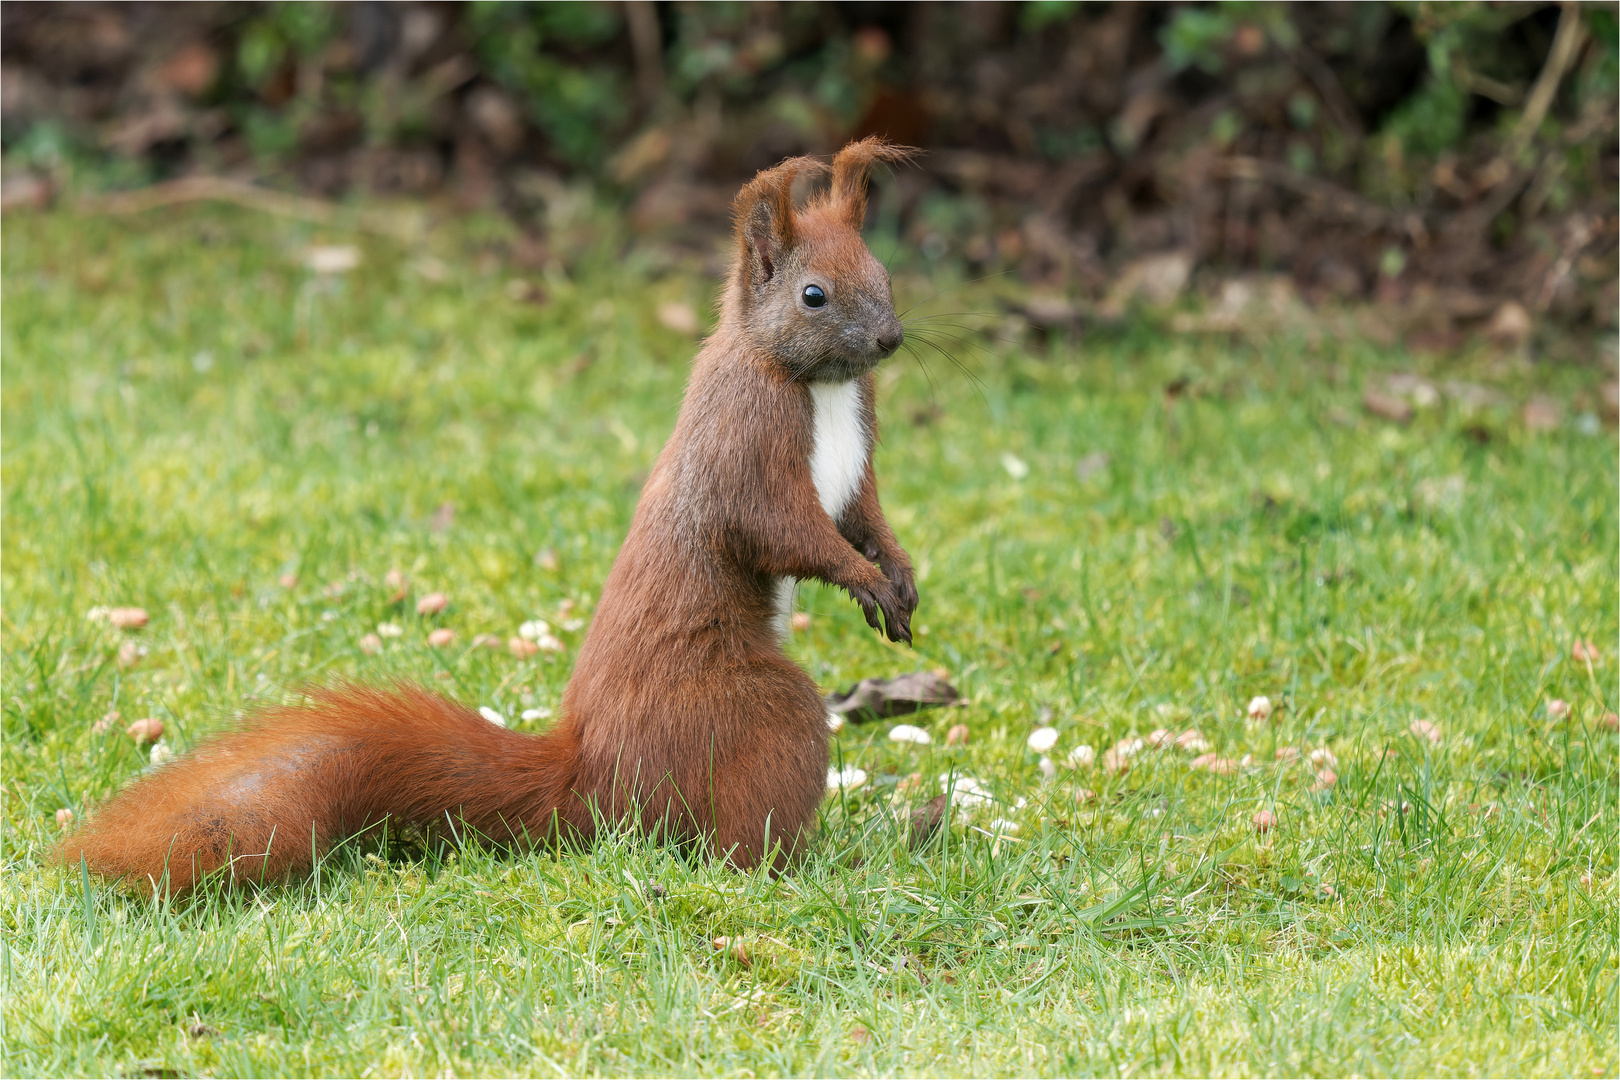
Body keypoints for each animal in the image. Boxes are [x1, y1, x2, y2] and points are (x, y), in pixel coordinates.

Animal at [57, 137, 920, 893]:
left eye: (883, 271)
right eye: (813, 295)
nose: (890, 338)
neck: (819, 387)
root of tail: (596, 782)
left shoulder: (858, 461)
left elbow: (863, 516)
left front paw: (900, 574)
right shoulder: (745, 447)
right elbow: (782, 530)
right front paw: (866, 581)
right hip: (755, 715)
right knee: (735, 836)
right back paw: (808, 867)